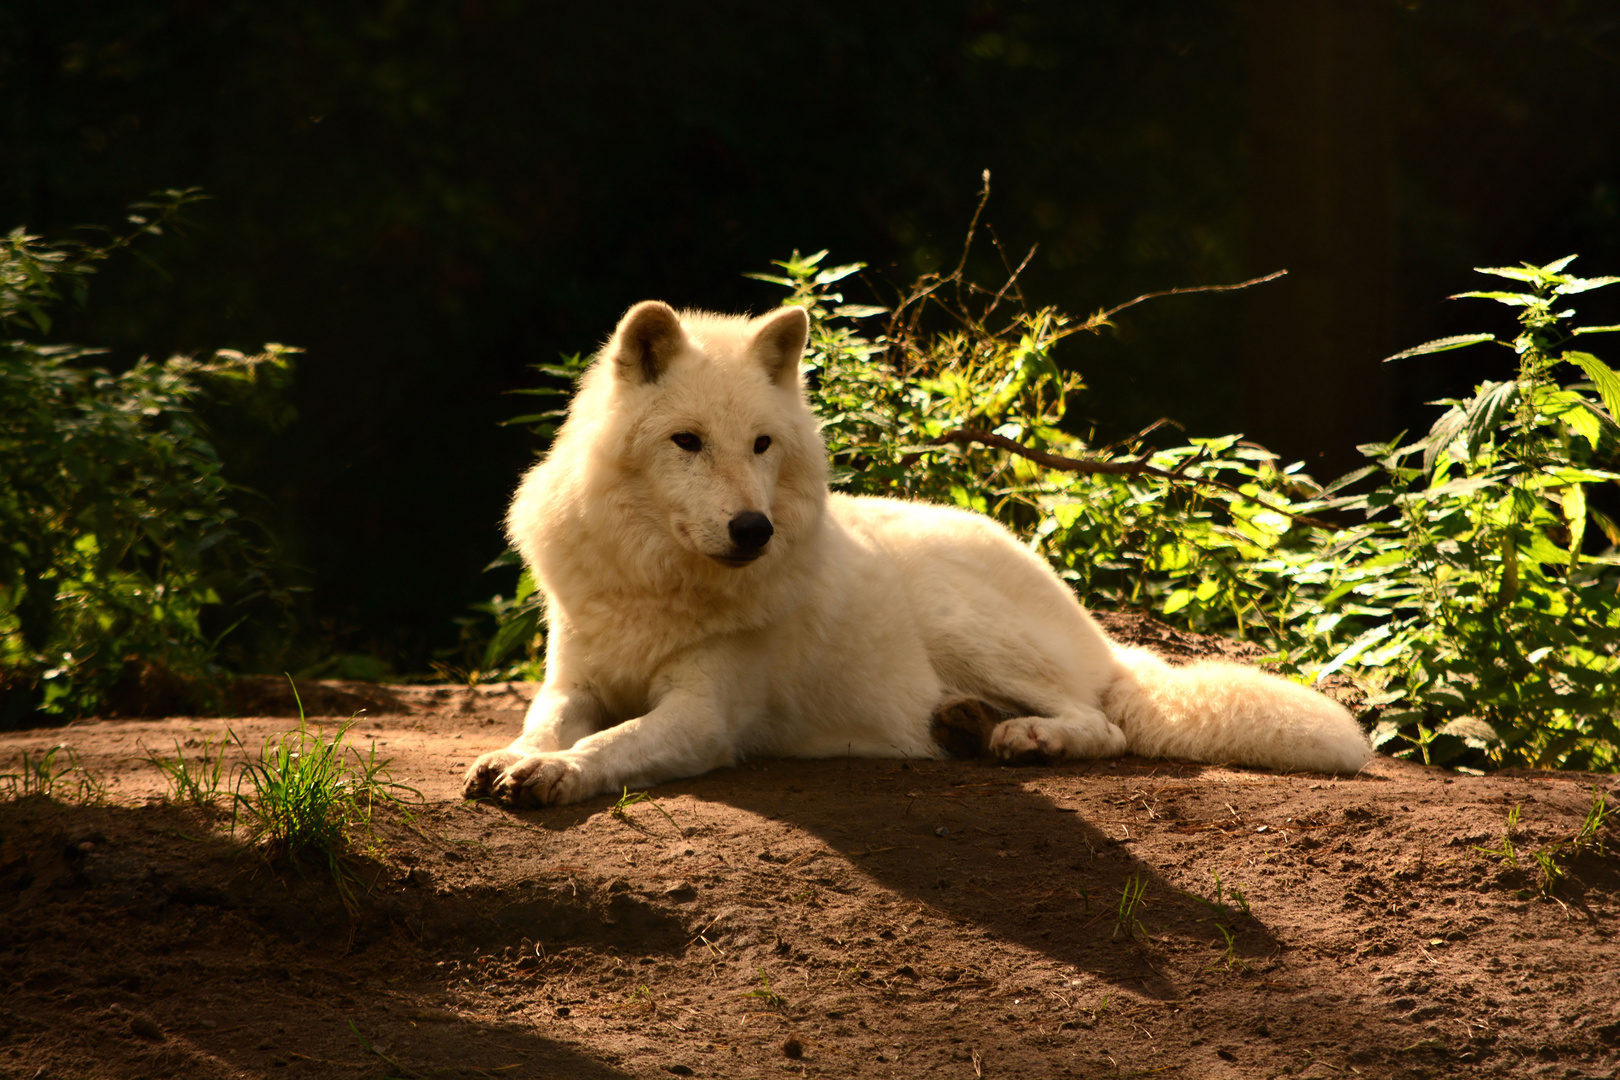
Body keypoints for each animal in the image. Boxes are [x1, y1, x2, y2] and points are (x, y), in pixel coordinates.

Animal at [463, 299, 1373, 806]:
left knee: (1105, 724)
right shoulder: (572, 681)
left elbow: (609, 745)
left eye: (761, 445)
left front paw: (552, 778)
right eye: (687, 442)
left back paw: (1022, 738)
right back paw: (966, 725)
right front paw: (515, 759)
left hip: (955, 617)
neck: (657, 587)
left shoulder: (704, 717)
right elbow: (545, 724)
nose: (754, 529)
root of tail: (1102, 638)